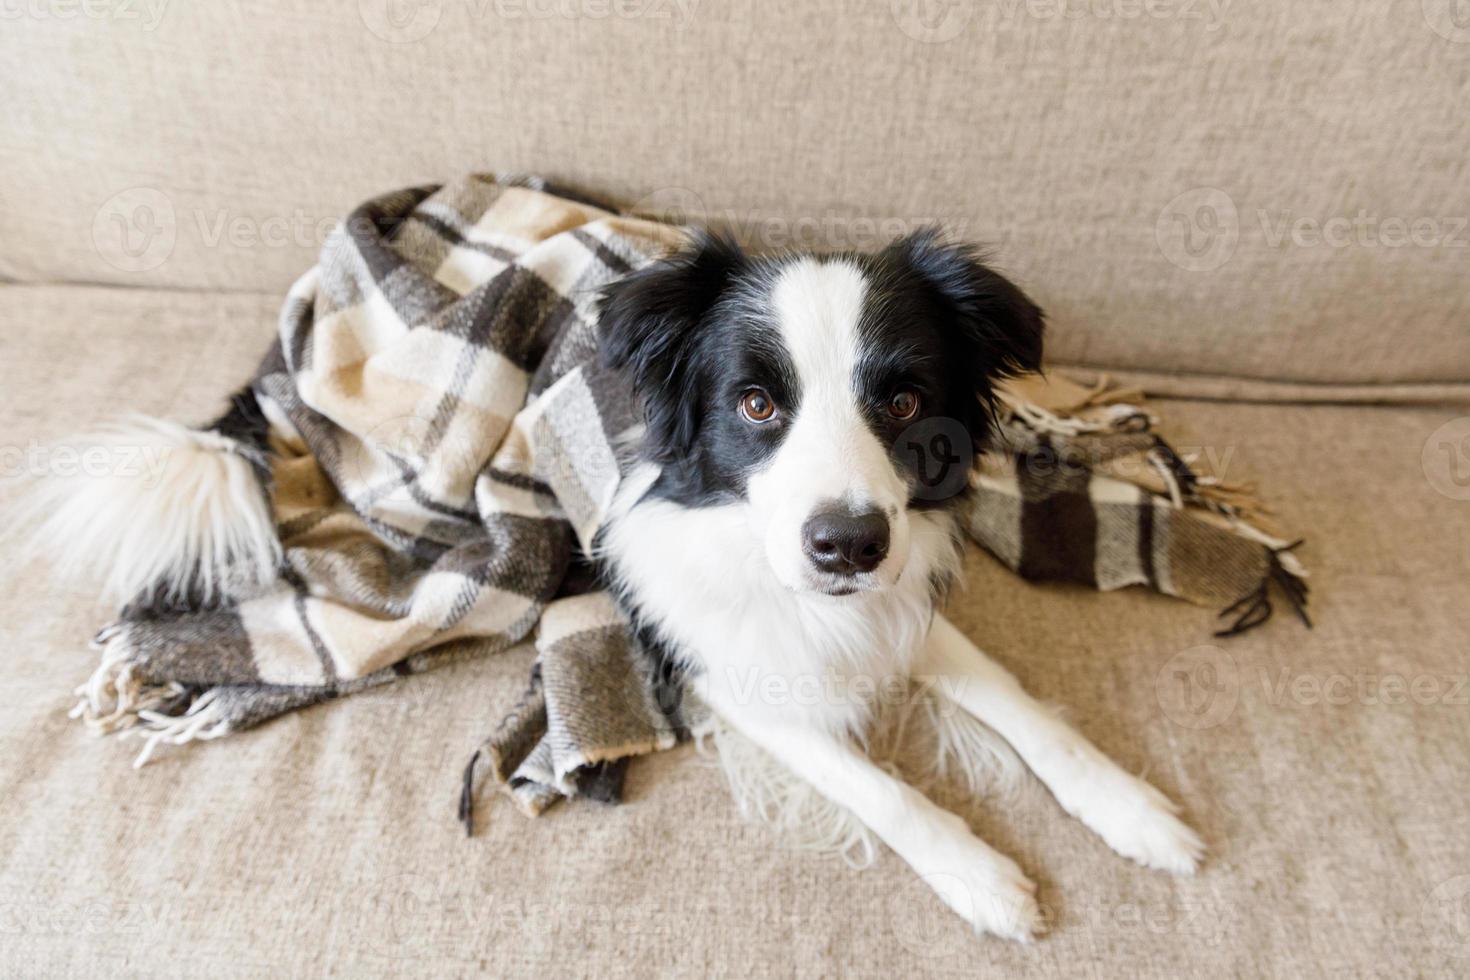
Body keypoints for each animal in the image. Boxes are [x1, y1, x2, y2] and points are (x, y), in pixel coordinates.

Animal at [596, 230, 1205, 940]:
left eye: (904, 402)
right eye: (756, 404)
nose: (848, 546)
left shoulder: (903, 601)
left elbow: (1017, 701)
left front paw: (1129, 807)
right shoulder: (726, 675)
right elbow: (878, 789)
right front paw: (978, 877)